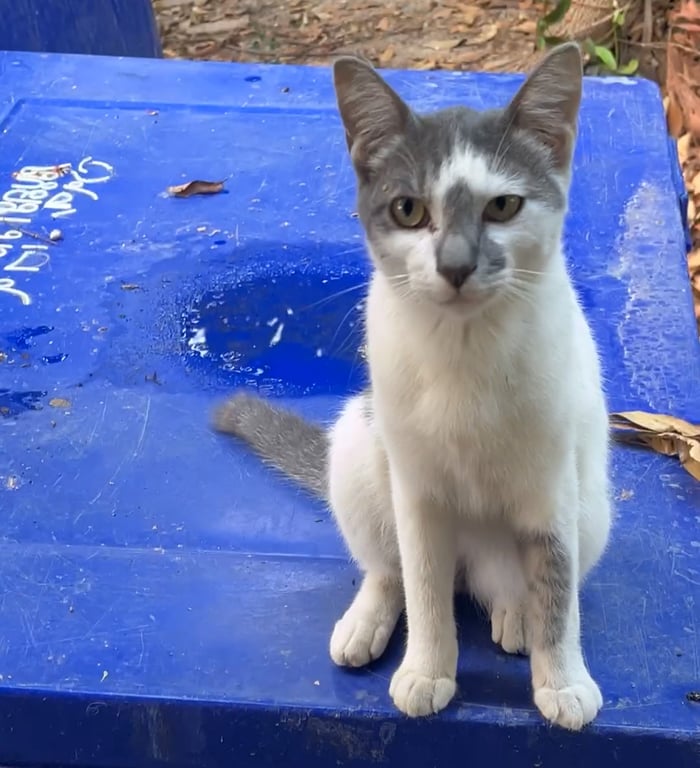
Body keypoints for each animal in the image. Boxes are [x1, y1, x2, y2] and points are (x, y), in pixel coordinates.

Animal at [212, 41, 612, 731]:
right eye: (408, 210)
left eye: (502, 207)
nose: (454, 266)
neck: (464, 350)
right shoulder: (417, 489)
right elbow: (423, 582)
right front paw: (428, 670)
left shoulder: (553, 485)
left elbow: (557, 586)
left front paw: (562, 681)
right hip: (358, 443)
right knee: (391, 567)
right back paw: (368, 618)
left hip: (596, 507)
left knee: (518, 581)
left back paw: (515, 613)